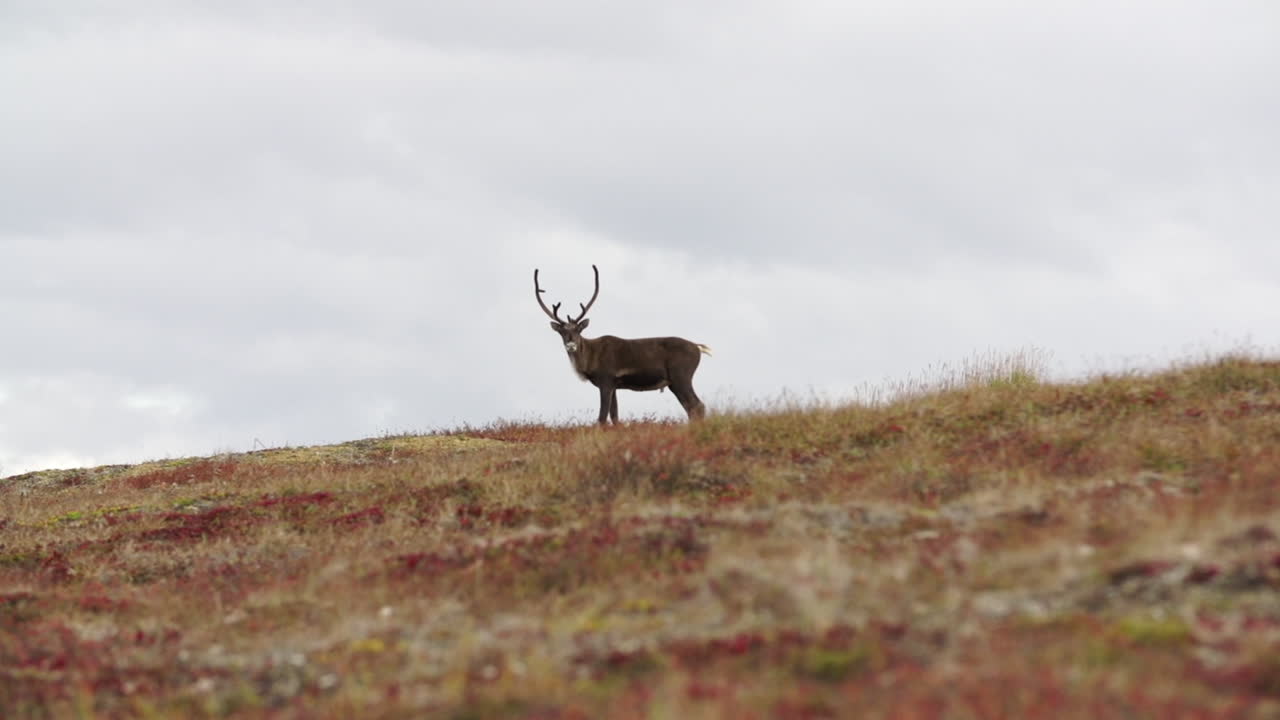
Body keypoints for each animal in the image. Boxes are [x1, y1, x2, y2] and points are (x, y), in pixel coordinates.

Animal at [534, 264, 711, 425]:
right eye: (561, 332)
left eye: (579, 330)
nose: (571, 345)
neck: (590, 359)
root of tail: (698, 347)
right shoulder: (614, 386)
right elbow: (615, 416)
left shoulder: (605, 381)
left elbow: (602, 418)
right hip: (674, 382)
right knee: (691, 408)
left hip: (681, 377)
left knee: (697, 406)